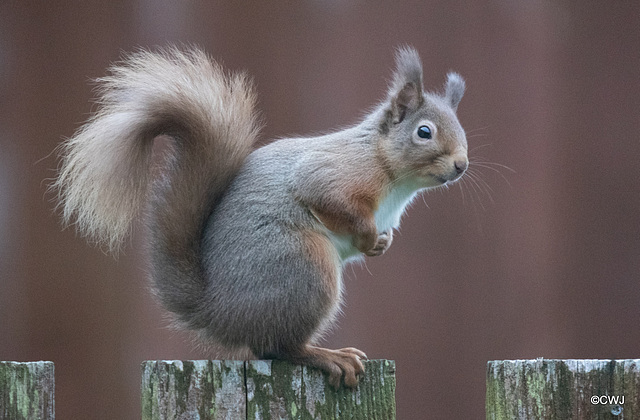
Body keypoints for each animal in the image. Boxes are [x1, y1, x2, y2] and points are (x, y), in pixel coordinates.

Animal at [53, 46, 464, 388]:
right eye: (424, 132)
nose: (461, 165)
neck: (393, 177)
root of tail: (219, 312)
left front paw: (381, 243)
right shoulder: (332, 176)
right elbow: (330, 201)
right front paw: (367, 238)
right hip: (303, 267)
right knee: (278, 348)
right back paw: (327, 356)